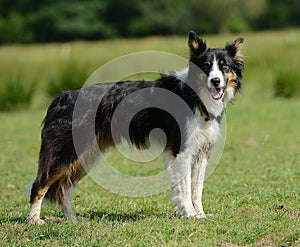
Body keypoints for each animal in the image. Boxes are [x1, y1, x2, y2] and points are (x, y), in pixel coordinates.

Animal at [27, 30, 245, 224]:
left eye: (225, 67)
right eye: (206, 67)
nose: (215, 81)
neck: (195, 94)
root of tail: (61, 97)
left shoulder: (202, 151)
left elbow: (196, 188)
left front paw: (200, 214)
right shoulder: (182, 150)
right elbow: (185, 188)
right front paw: (190, 214)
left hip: (85, 155)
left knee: (65, 188)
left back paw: (72, 219)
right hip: (67, 152)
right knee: (40, 184)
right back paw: (34, 220)